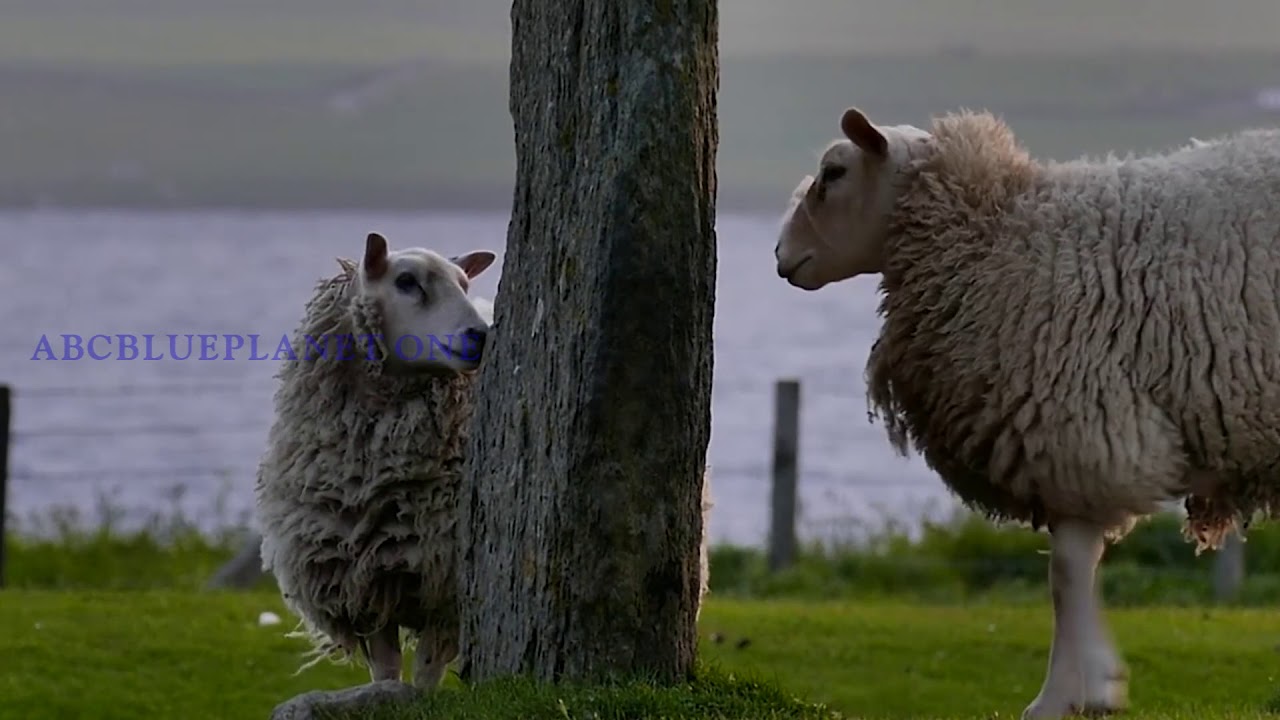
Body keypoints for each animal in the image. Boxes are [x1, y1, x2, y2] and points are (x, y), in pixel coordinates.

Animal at [255, 231, 497, 692]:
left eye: (464, 283)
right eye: (406, 281)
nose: (482, 335)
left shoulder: (445, 584)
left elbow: (426, 672)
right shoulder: (364, 581)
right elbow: (385, 670)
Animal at [772, 105, 1280, 719]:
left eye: (834, 172)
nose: (779, 256)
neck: (993, 235)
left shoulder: (1081, 434)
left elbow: (1065, 576)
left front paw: (1066, 696)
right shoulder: (1074, 449)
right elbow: (1075, 574)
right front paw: (1091, 686)